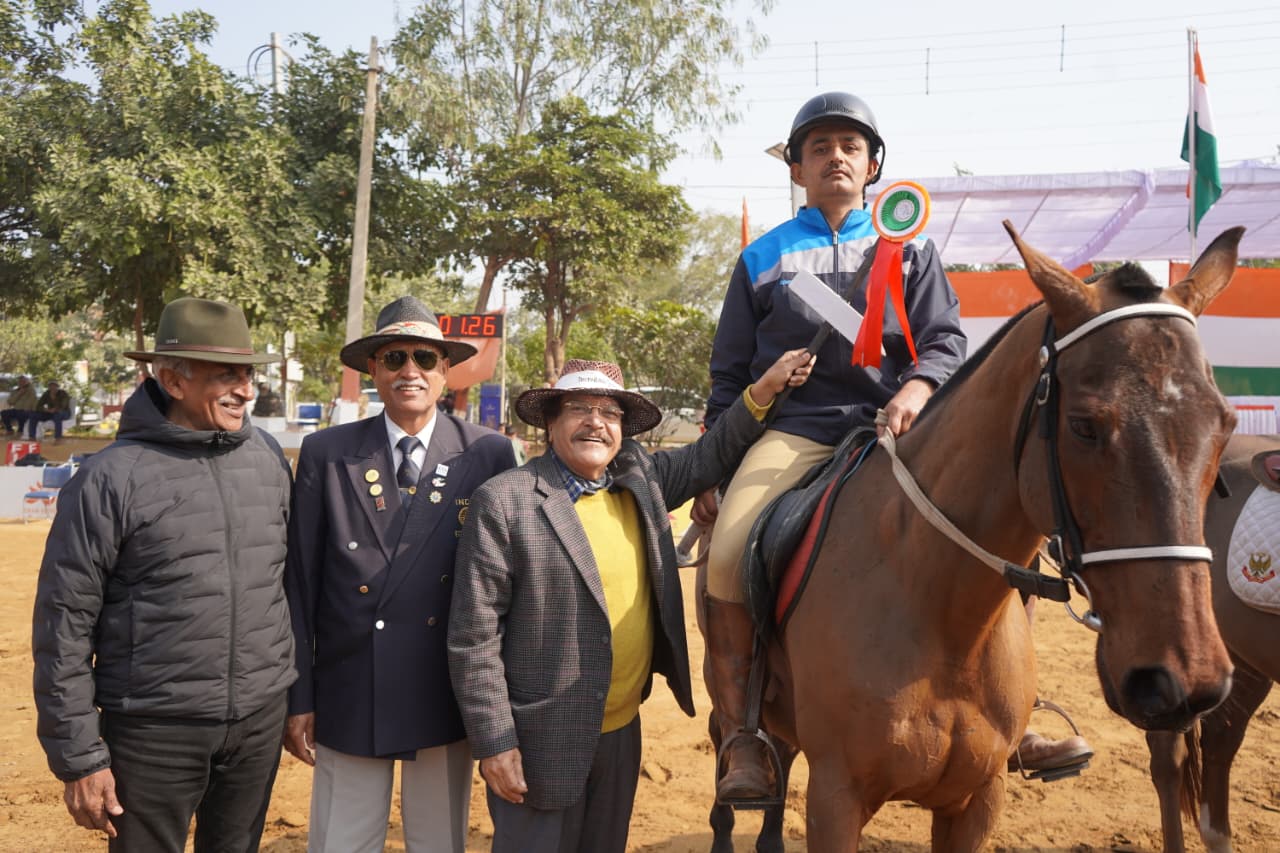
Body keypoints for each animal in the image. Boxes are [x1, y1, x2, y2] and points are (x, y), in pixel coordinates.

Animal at [697, 221, 1245, 852]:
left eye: (1225, 425)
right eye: (1084, 426)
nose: (1183, 681)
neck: (942, 614)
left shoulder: (977, 801)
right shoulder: (835, 799)